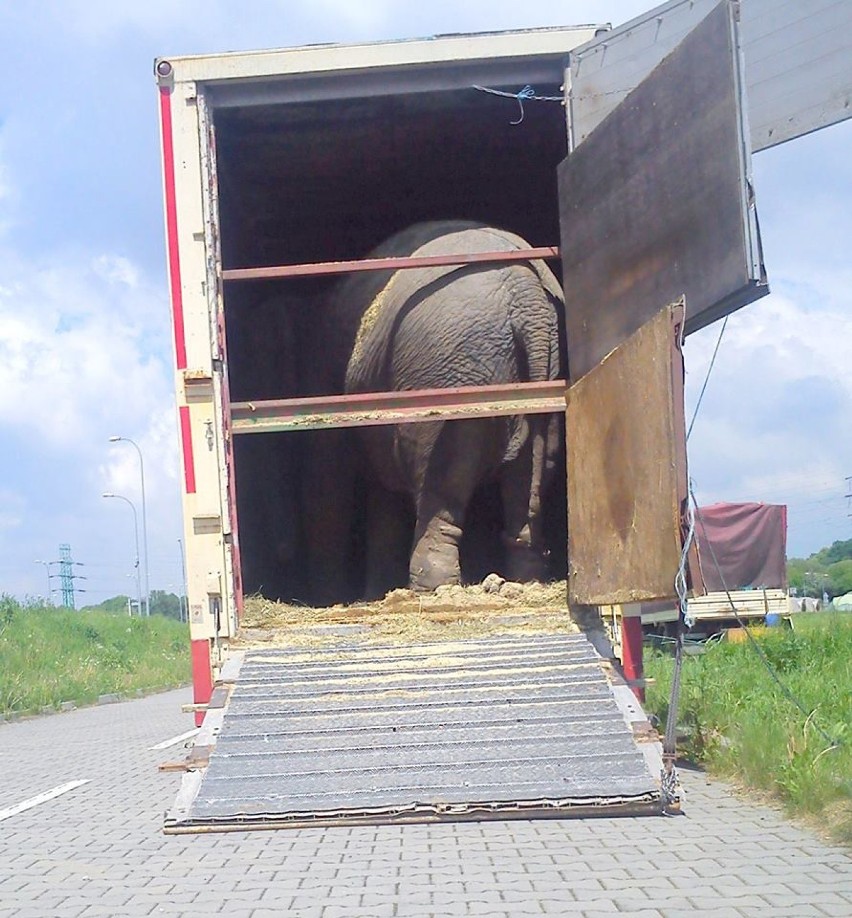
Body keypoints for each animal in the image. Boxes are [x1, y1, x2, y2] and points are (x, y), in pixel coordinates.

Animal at [302, 223, 568, 604]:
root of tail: (526, 295)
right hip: (537, 375)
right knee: (532, 469)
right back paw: (526, 580)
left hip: (450, 377)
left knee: (442, 476)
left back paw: (431, 587)